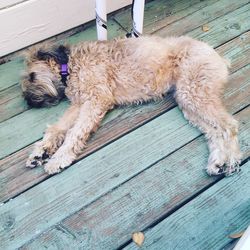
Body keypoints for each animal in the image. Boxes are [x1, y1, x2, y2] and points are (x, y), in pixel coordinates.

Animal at [21, 36, 242, 175]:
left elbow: (75, 132)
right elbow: (57, 128)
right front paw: (41, 152)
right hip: (188, 101)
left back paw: (230, 161)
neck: (70, 65)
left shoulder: (95, 99)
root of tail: (218, 57)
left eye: (32, 76)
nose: (29, 102)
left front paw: (59, 158)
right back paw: (218, 162)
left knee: (228, 126)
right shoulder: (79, 104)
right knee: (214, 130)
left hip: (195, 93)